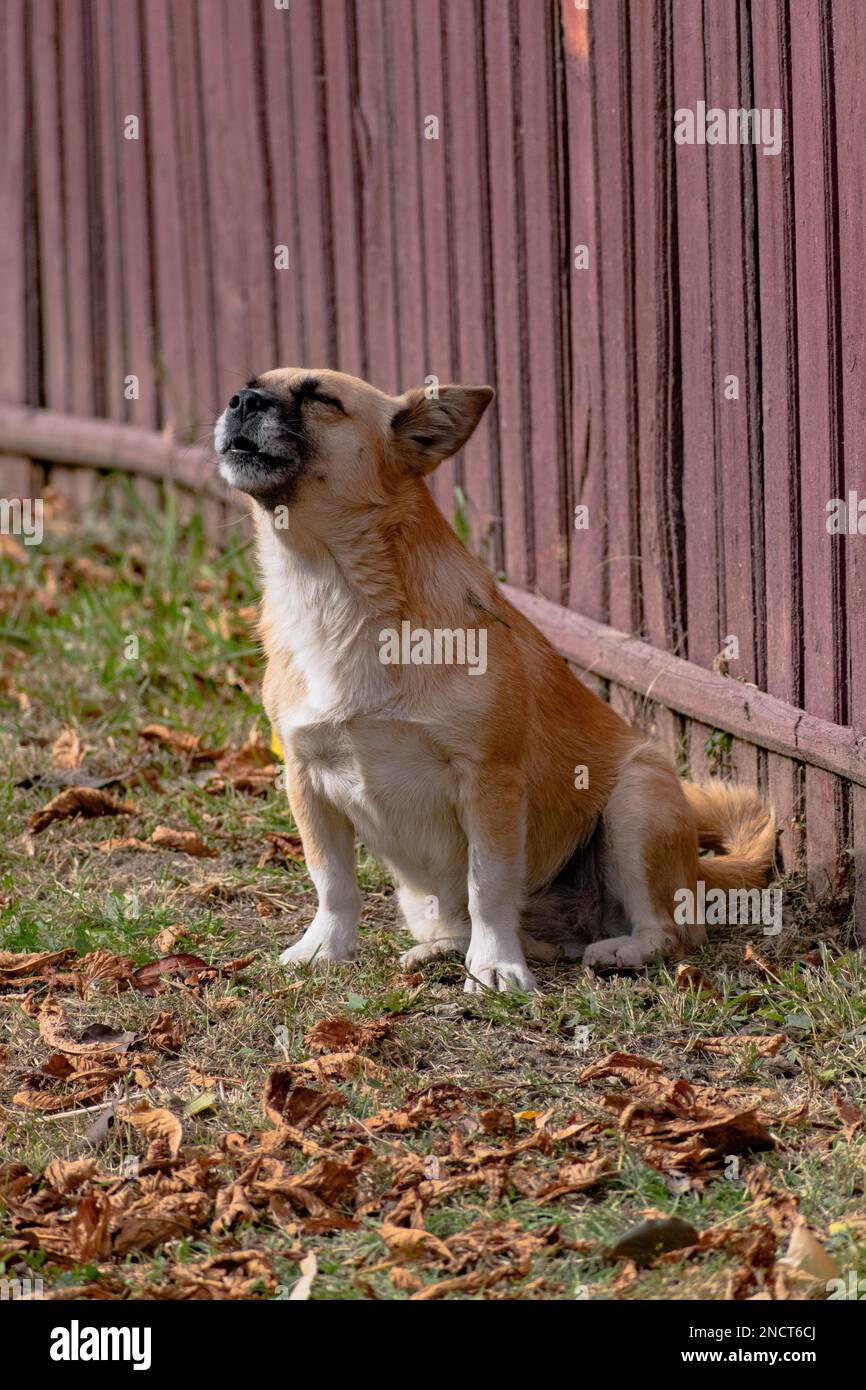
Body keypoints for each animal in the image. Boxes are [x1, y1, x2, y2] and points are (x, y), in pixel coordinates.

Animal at [214, 369, 778, 995]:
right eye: (248, 386)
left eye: (321, 398)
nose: (239, 401)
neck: (328, 587)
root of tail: (699, 867)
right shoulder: (306, 777)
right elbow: (333, 883)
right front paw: (324, 950)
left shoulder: (489, 784)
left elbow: (487, 885)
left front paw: (494, 967)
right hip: (424, 897)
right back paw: (442, 950)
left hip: (637, 805)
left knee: (672, 932)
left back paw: (617, 950)